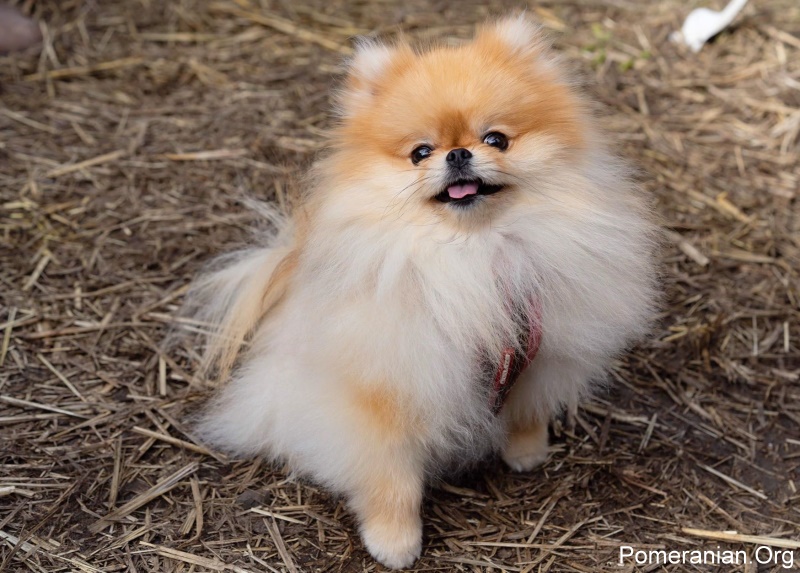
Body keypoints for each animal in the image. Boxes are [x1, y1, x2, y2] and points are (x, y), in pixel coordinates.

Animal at [184, 15, 660, 568]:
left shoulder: (536, 353)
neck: (472, 254)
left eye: (496, 139)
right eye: (420, 153)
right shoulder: (387, 389)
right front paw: (394, 542)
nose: (458, 153)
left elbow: (527, 410)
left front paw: (526, 451)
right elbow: (392, 479)